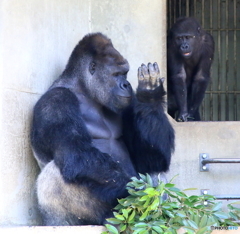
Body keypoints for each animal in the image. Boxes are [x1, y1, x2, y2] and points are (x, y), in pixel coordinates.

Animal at [30, 32, 174, 226]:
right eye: (117, 74)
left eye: (125, 74)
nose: (126, 85)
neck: (83, 89)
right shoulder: (55, 101)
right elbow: (77, 154)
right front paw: (138, 193)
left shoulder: (129, 102)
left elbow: (152, 159)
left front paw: (150, 95)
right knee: (56, 173)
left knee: (155, 171)